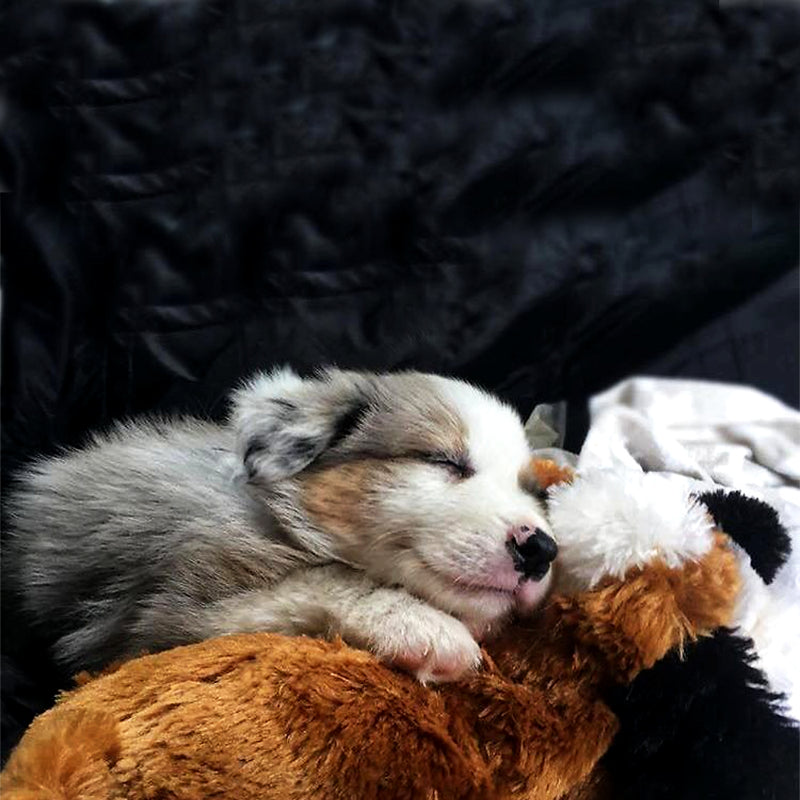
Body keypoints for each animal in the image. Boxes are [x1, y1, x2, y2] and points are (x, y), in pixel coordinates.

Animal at [6, 368, 556, 680]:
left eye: (530, 489)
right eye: (444, 460)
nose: (543, 550)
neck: (282, 519)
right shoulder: (162, 618)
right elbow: (326, 579)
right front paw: (426, 627)